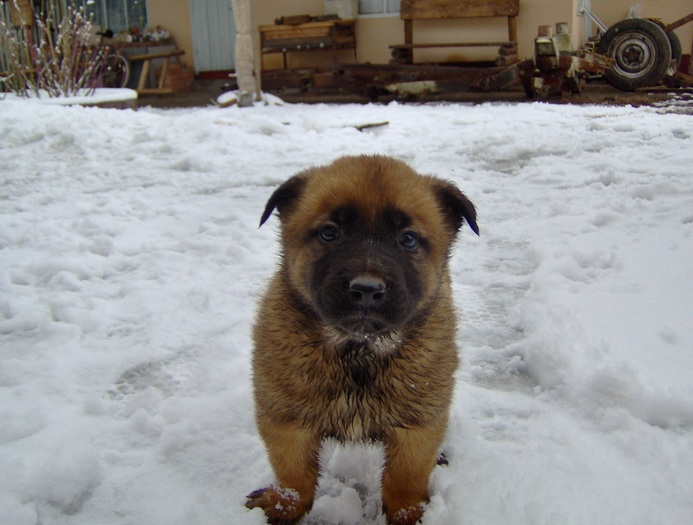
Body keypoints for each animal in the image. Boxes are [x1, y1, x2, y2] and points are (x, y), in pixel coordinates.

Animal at [246, 156, 478, 524]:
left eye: (408, 239)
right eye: (329, 232)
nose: (366, 290)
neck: (358, 352)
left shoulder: (417, 428)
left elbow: (405, 479)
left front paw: (409, 515)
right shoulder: (285, 419)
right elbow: (294, 474)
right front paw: (283, 506)